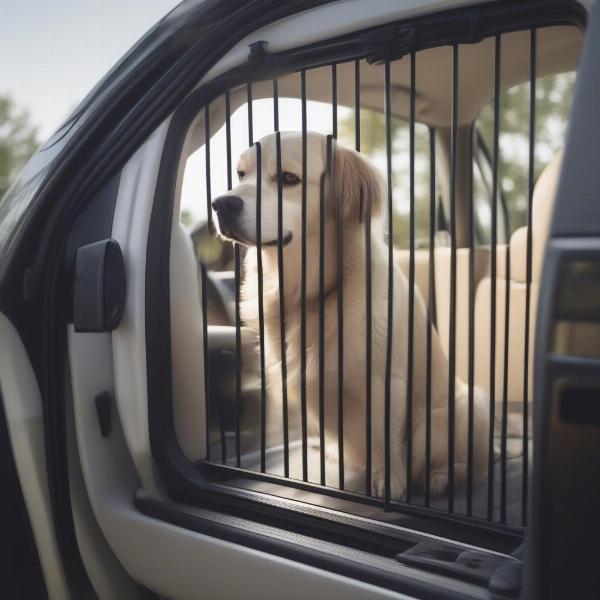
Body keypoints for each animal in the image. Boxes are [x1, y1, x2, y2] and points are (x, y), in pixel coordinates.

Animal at [213, 132, 490, 502]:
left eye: (288, 178)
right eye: (241, 174)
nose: (220, 204)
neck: (310, 291)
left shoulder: (385, 380)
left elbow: (384, 437)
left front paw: (389, 482)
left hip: (461, 409)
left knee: (463, 463)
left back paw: (441, 477)